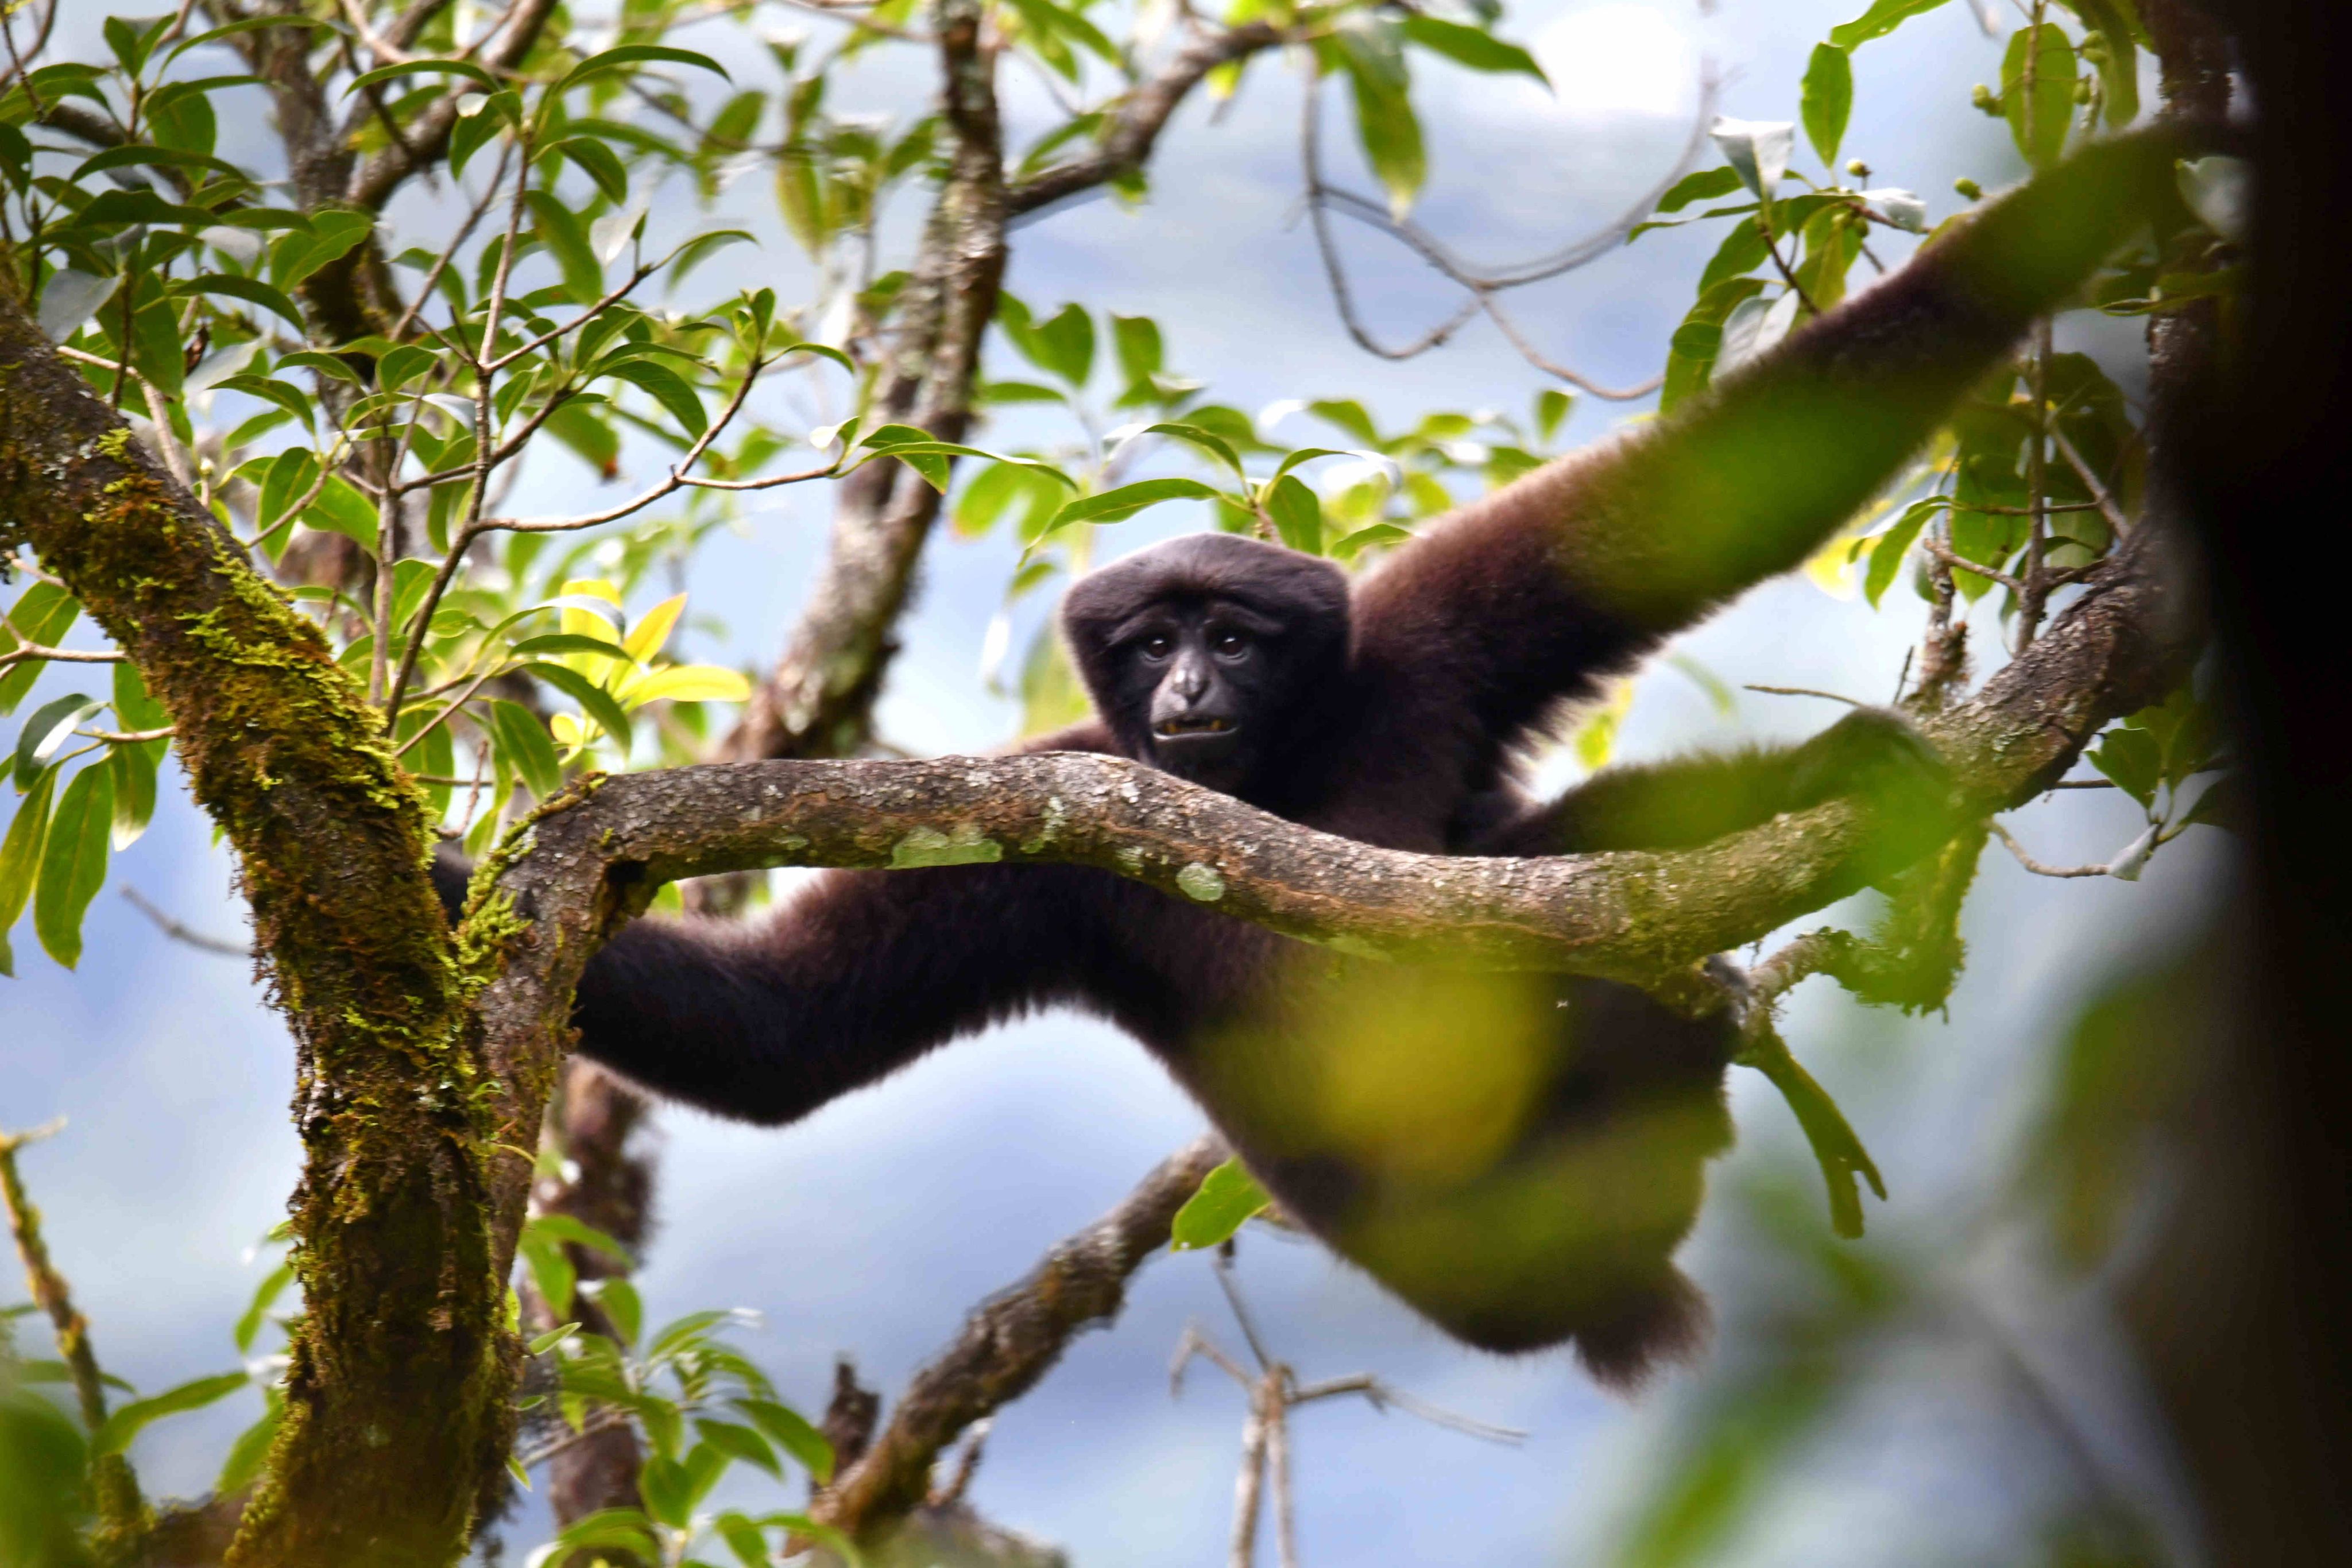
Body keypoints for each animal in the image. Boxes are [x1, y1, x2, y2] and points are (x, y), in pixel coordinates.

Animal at [437, 133, 2186, 1386]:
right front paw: (436, 873)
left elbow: (1720, 493)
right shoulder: (1039, 818)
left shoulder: (1420, 645)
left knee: (1570, 874)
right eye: (1153, 641)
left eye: (1234, 633)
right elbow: (788, 1032)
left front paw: (2123, 176)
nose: (1192, 680)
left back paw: (1810, 809)